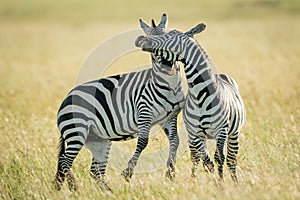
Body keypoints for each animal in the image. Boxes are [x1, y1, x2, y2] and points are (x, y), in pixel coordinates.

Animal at [136, 24, 246, 182]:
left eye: (168, 35)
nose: (140, 39)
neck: (200, 96)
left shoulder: (221, 131)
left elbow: (219, 158)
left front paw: (221, 182)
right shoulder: (195, 134)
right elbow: (206, 160)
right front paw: (213, 181)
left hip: (233, 133)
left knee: (231, 159)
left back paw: (234, 181)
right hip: (197, 138)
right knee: (196, 158)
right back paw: (194, 179)